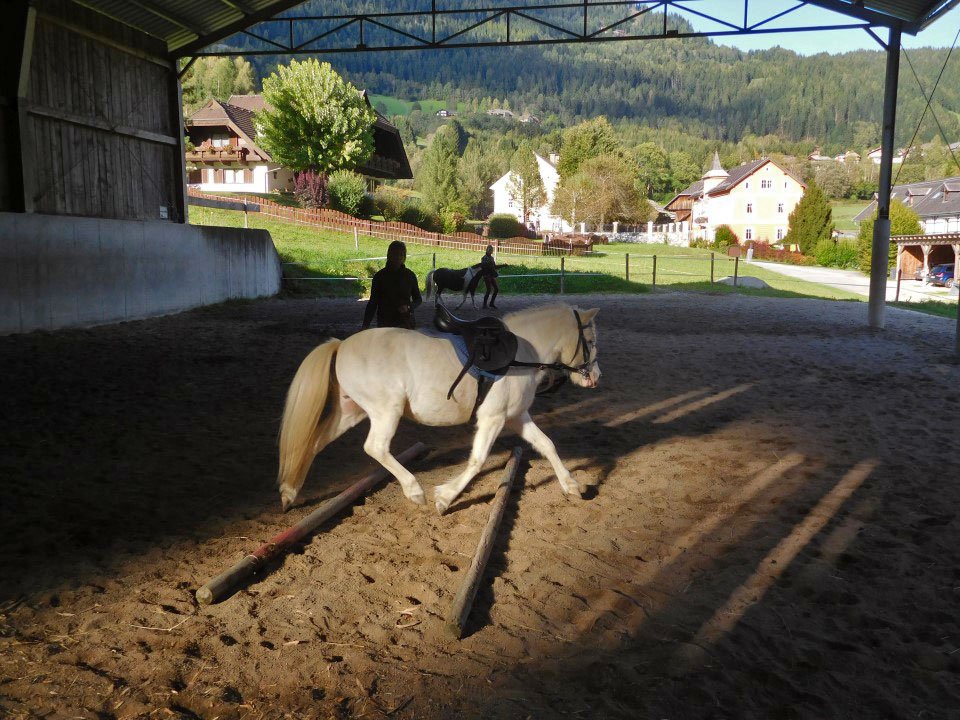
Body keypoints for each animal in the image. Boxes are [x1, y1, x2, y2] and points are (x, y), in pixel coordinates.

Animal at [276, 300, 600, 516]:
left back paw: (289, 492)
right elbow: (478, 460)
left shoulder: (517, 416)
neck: (520, 354)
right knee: (375, 448)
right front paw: (445, 496)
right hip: (386, 411)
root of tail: (341, 345)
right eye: (590, 340)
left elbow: (547, 445)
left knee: (314, 443)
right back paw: (414, 490)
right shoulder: (493, 418)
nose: (595, 377)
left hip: (351, 411)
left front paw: (571, 485)